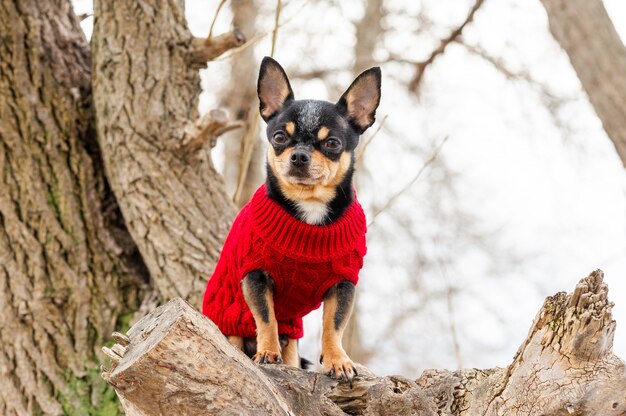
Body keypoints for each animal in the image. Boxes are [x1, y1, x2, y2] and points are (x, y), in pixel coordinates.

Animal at [204, 56, 380, 384]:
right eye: (279, 137)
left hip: (294, 345)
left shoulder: (343, 283)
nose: (299, 155)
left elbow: (333, 326)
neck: (309, 209)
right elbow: (267, 318)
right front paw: (267, 352)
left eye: (333, 144)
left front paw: (338, 360)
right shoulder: (255, 275)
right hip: (230, 328)